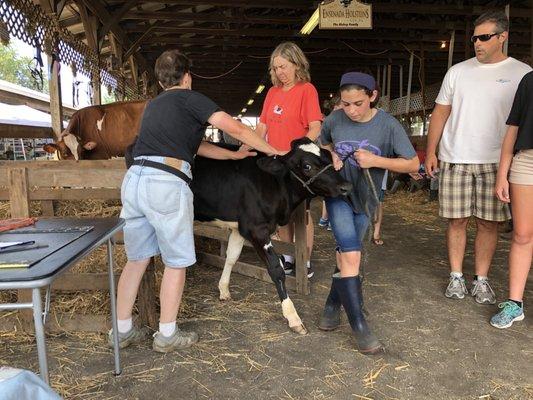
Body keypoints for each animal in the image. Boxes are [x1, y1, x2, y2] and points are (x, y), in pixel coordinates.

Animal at [191, 138, 350, 334]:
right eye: (307, 166)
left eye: (329, 157)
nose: (346, 187)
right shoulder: (257, 229)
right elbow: (276, 269)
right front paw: (293, 317)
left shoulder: (240, 228)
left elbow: (232, 257)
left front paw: (224, 290)